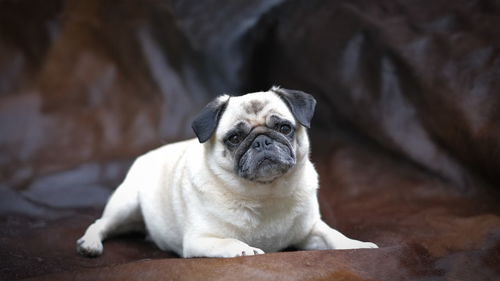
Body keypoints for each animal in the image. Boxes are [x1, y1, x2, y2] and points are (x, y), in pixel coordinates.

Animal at [76, 86, 376, 258]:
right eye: (234, 138)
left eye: (284, 128)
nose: (261, 141)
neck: (264, 195)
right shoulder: (199, 240)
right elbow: (229, 242)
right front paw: (245, 249)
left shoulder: (310, 230)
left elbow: (334, 236)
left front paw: (357, 245)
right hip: (125, 205)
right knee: (100, 224)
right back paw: (90, 244)